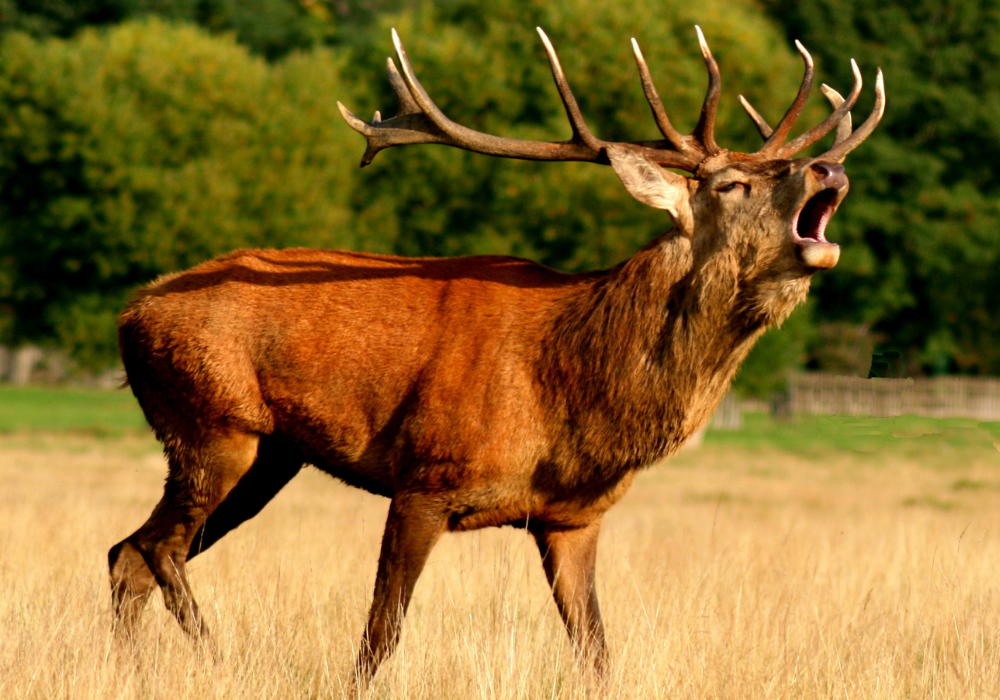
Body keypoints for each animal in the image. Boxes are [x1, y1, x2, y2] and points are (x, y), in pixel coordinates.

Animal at [108, 24, 884, 683]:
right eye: (730, 184)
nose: (827, 169)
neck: (572, 393)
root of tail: (130, 313)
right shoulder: (425, 476)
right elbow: (380, 636)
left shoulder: (573, 517)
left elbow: (596, 652)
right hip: (211, 423)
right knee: (156, 548)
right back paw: (217, 658)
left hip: (270, 455)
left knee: (127, 554)